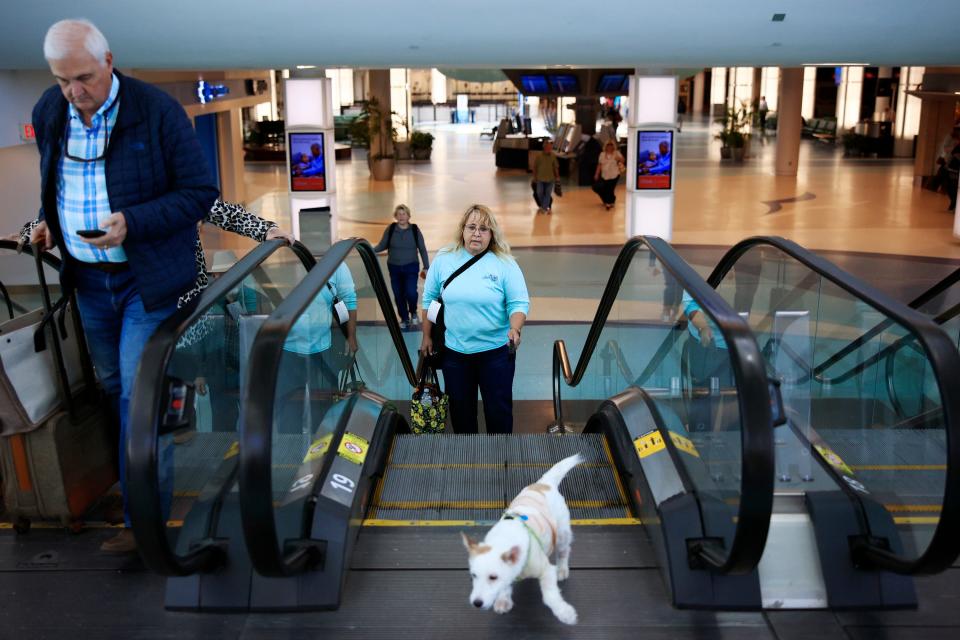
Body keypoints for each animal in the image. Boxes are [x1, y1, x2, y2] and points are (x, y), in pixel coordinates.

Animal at [462, 452, 580, 628]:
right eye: (473, 576)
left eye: (493, 577)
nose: (476, 603)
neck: (503, 539)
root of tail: (545, 483)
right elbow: (505, 586)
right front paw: (503, 600)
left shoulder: (546, 570)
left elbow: (550, 596)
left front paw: (564, 613)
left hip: (562, 533)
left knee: (564, 550)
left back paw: (562, 569)